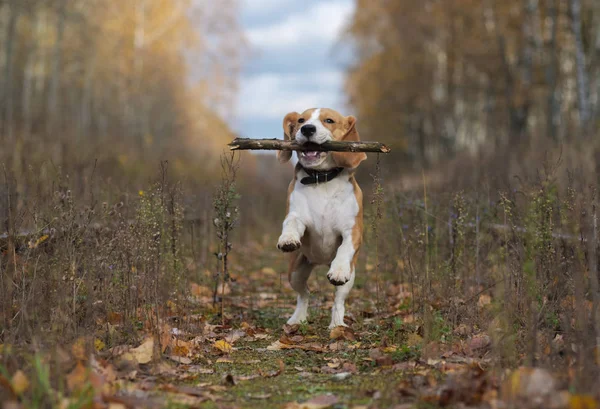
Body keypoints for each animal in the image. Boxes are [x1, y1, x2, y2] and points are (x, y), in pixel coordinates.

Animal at [276, 107, 366, 326]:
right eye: (301, 120)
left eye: (329, 120)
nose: (307, 129)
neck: (321, 180)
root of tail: (322, 261)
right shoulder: (297, 215)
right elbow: (291, 223)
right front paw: (288, 238)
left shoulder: (352, 230)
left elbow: (345, 248)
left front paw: (339, 269)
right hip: (295, 272)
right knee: (304, 294)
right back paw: (297, 319)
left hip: (350, 278)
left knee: (338, 300)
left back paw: (337, 324)